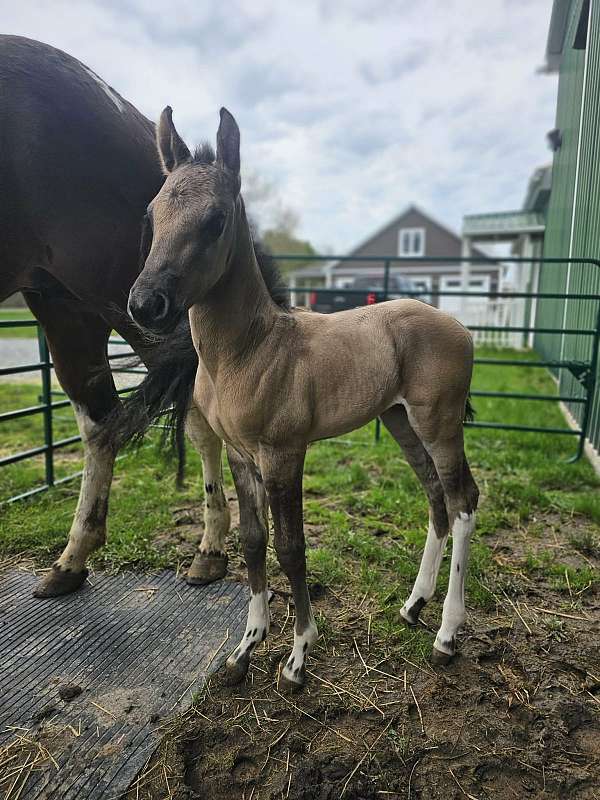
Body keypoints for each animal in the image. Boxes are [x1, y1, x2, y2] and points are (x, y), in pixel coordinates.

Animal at [123, 106, 480, 691]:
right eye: (152, 216)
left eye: (216, 220)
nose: (146, 304)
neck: (248, 351)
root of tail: (459, 326)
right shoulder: (242, 456)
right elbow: (252, 541)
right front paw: (245, 649)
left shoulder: (284, 454)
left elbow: (291, 549)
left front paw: (297, 657)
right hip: (401, 421)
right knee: (435, 499)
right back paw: (412, 607)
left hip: (440, 423)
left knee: (463, 501)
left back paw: (447, 638)